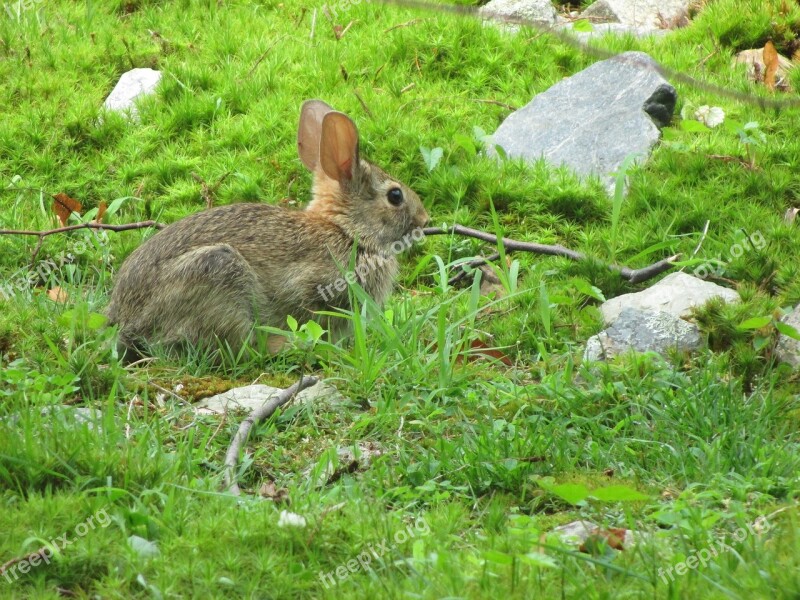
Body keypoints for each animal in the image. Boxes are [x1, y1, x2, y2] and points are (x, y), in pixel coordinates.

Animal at [108, 100, 432, 358]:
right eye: (395, 196)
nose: (425, 219)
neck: (346, 230)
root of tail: (126, 322)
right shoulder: (312, 286)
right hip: (218, 274)